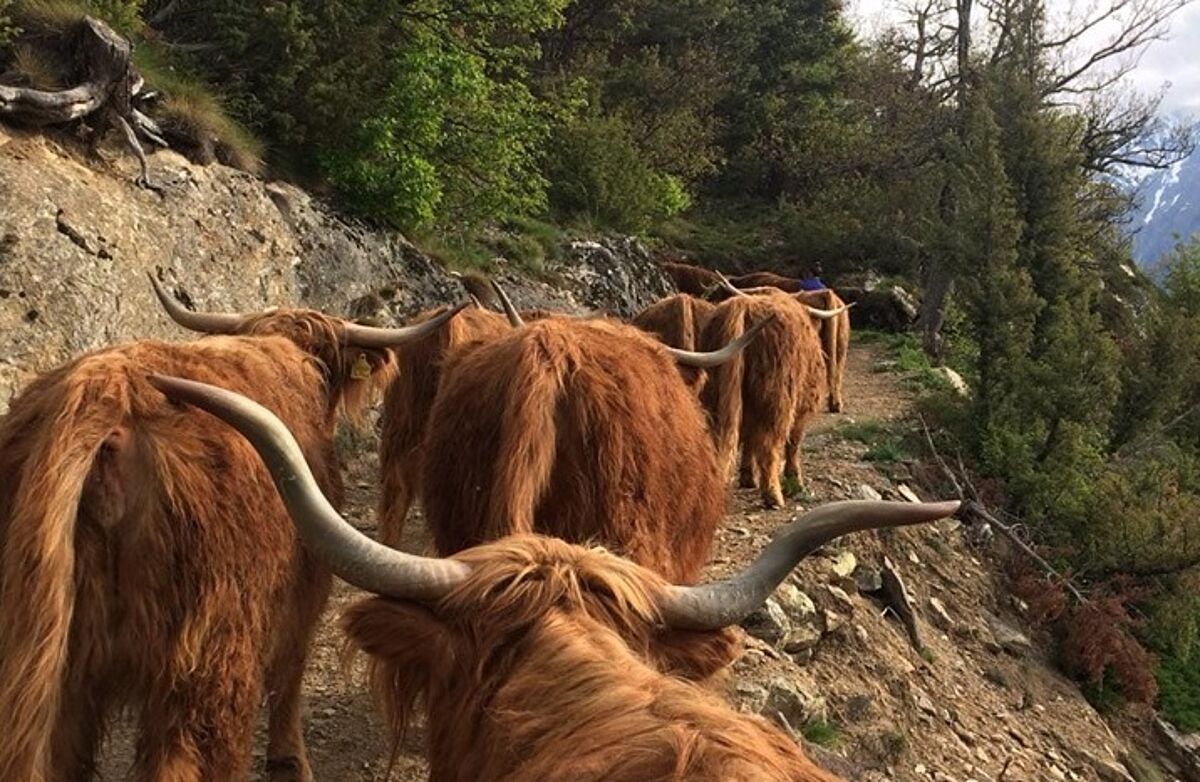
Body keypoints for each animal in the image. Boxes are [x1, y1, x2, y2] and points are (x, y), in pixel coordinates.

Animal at [0, 275, 460, 782]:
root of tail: (105, 394)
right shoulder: (308, 580)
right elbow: (289, 668)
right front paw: (290, 760)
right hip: (206, 657)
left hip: (60, 669)